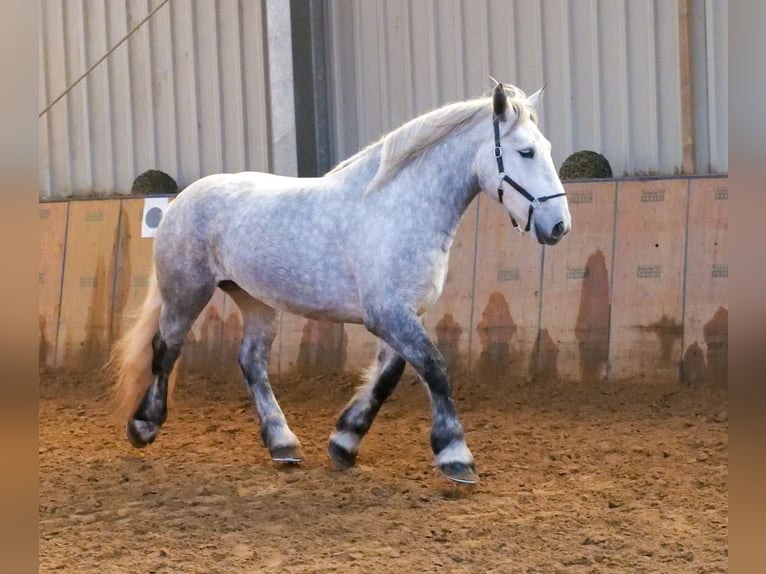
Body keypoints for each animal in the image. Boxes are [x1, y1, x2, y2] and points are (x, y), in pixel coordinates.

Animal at [112, 82, 568, 486]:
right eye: (526, 152)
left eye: (546, 149)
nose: (559, 226)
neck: (397, 207)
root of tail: (182, 199)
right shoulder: (388, 314)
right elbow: (435, 369)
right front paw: (456, 457)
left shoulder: (404, 314)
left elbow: (387, 377)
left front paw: (344, 442)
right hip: (186, 292)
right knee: (165, 350)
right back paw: (144, 426)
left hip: (255, 301)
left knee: (251, 361)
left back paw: (282, 443)